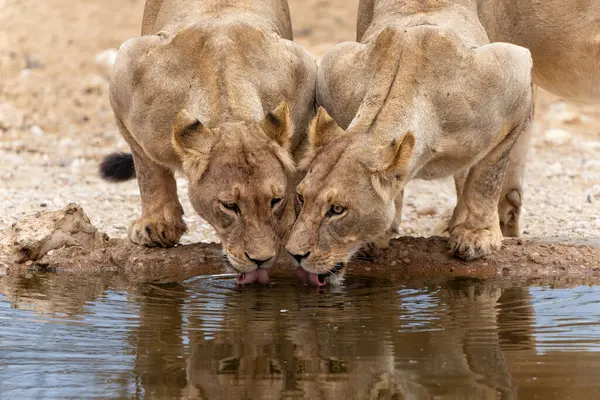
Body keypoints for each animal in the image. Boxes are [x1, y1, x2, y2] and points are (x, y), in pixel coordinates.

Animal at [99, 0, 316, 284]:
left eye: (274, 201)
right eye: (230, 206)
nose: (261, 260)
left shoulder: (304, 87)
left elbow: (296, 175)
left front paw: (289, 225)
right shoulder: (124, 79)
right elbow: (148, 170)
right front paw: (156, 225)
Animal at [286, 0, 536, 288]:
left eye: (337, 209)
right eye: (301, 197)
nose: (294, 254)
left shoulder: (514, 76)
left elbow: (487, 177)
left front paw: (476, 236)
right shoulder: (333, 72)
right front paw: (379, 235)